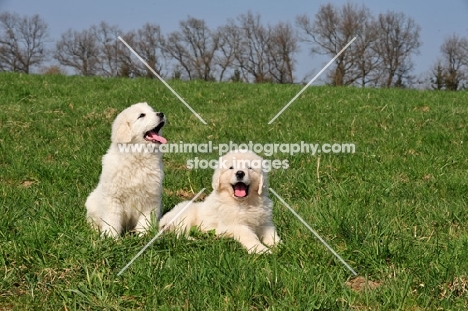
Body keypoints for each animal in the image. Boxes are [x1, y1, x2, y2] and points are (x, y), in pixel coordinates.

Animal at [86, 103, 166, 239]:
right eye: (141, 115)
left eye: (152, 110)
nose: (161, 114)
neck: (137, 157)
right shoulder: (113, 198)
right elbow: (112, 220)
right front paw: (110, 237)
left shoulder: (150, 198)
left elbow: (146, 219)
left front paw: (143, 235)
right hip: (91, 203)